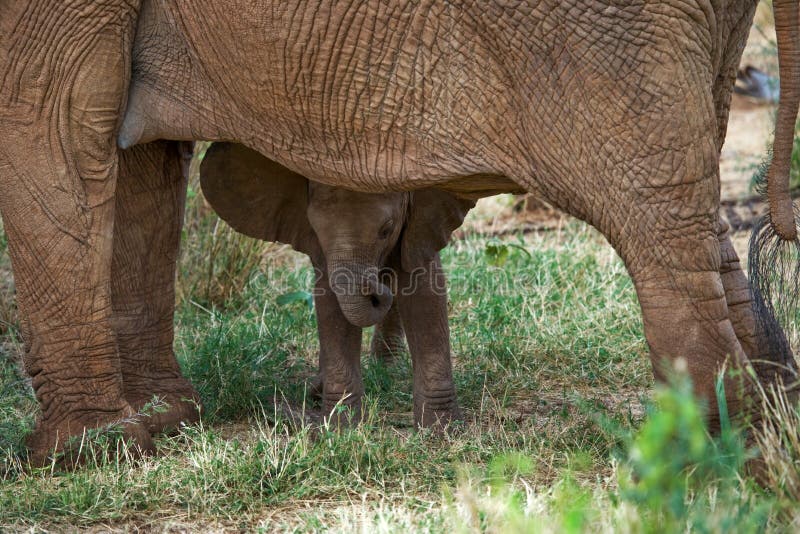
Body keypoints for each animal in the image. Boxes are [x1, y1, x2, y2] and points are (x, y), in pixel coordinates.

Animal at [202, 144, 476, 430]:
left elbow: (425, 292)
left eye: (386, 230)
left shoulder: (422, 223)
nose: (375, 289)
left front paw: (441, 431)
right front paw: (340, 429)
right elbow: (330, 304)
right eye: (315, 229)